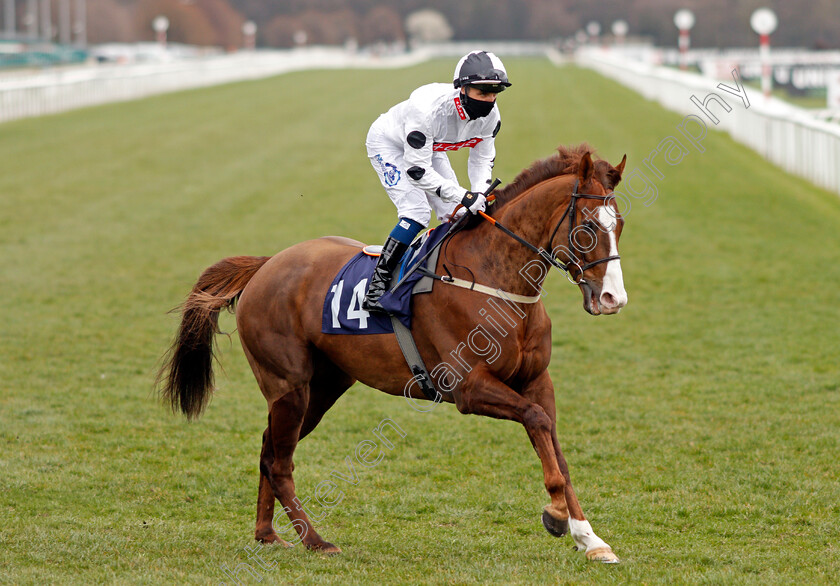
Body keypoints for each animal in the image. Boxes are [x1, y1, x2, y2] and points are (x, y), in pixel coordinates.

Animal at [159, 143, 632, 560]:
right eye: (588, 226)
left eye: (620, 224)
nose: (613, 299)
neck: (491, 278)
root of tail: (266, 264)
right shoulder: (468, 387)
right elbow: (536, 422)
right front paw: (556, 514)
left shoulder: (536, 381)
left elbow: (554, 445)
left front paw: (590, 539)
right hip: (288, 385)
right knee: (280, 463)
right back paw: (315, 540)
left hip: (322, 387)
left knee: (268, 448)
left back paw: (267, 534)